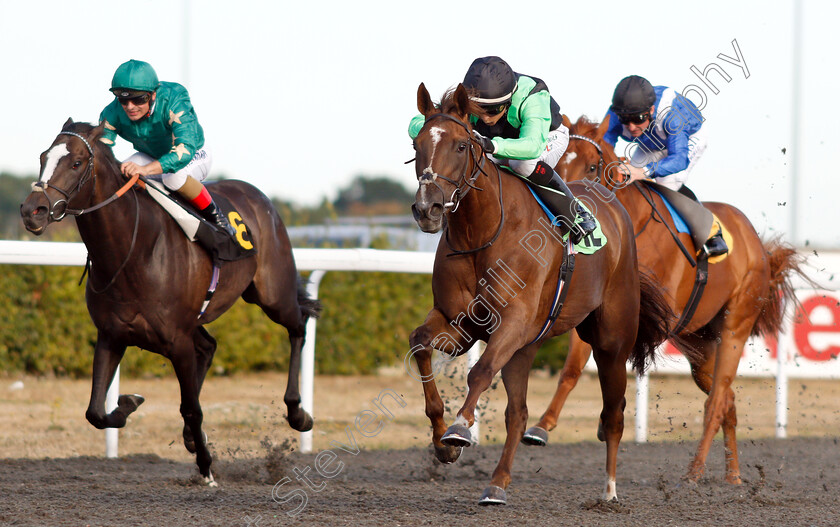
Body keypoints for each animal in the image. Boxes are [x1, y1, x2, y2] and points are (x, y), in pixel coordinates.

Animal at [20, 119, 322, 486]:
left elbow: (191, 407)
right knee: (209, 346)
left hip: (272, 294)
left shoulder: (177, 340)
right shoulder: (112, 335)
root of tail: (259, 197)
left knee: (298, 326)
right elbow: (96, 411)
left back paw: (298, 413)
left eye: (76, 163)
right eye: (42, 157)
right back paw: (194, 436)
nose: (32, 211)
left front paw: (206, 468)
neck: (132, 251)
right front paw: (128, 402)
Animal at [406, 86, 676, 508]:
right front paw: (442, 441)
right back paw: (497, 484)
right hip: (526, 348)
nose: (427, 208)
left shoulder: (513, 323)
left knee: (613, 414)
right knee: (517, 413)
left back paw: (609, 490)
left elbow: (480, 372)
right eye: (417, 145)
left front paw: (460, 429)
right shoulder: (459, 324)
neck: (482, 232)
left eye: (462, 145)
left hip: (611, 342)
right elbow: (420, 344)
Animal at [528, 116, 804, 486]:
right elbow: (572, 368)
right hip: (700, 345)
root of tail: (757, 245)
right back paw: (733, 474)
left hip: (736, 325)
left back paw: (695, 470)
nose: (568, 210)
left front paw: (607, 418)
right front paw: (541, 428)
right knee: (726, 399)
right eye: (557, 164)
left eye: (592, 166)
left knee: (717, 400)